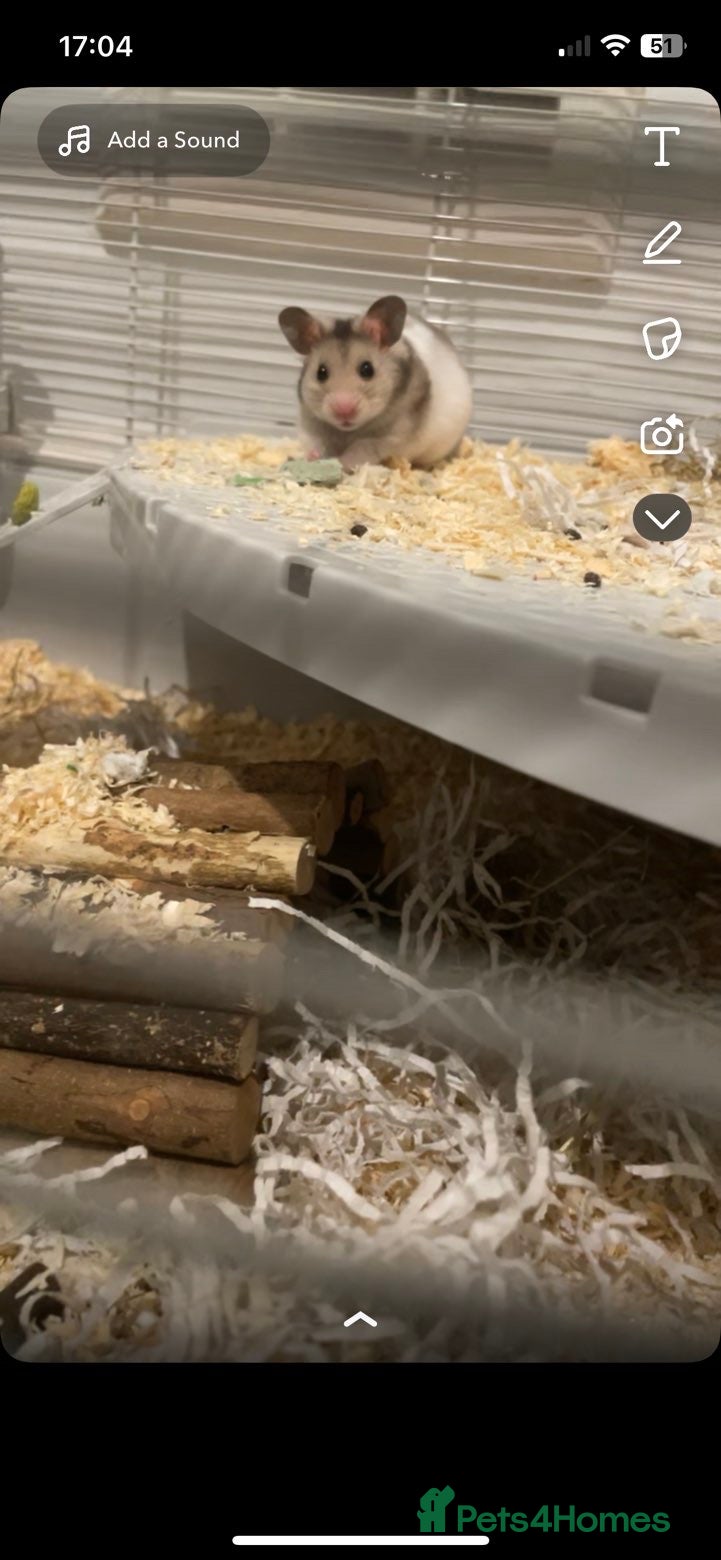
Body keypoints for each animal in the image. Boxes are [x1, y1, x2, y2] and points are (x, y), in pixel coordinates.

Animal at [278, 295, 472, 471]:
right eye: (321, 373)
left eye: (367, 369)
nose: (344, 411)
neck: (347, 431)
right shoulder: (310, 422)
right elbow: (315, 442)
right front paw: (313, 458)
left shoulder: (391, 435)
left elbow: (362, 448)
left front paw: (342, 463)